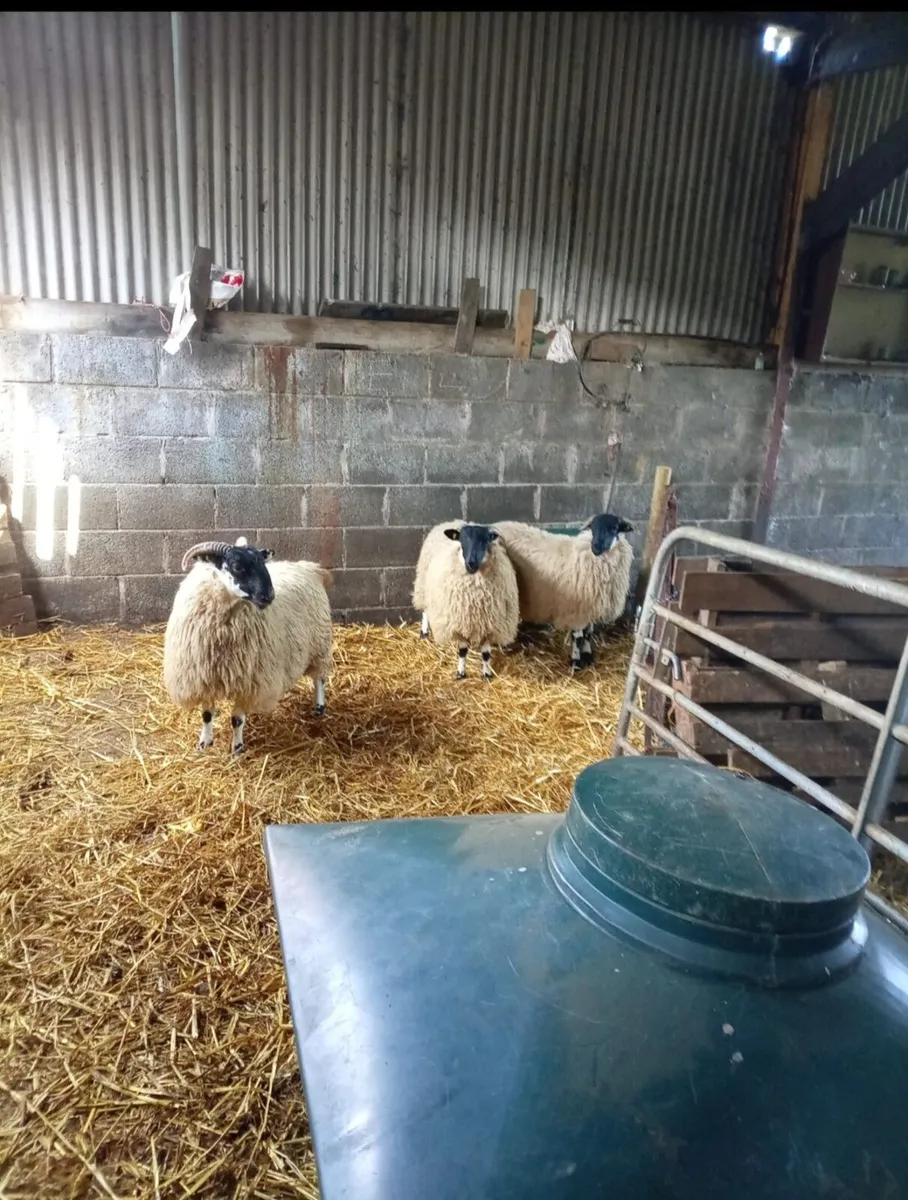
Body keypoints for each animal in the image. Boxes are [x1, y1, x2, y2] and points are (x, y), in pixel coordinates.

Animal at [163, 537, 333, 755]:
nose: (269, 596)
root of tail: (310, 567)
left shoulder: (249, 682)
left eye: (263, 563)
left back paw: (319, 708)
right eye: (237, 566)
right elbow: (207, 715)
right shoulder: (204, 677)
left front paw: (237, 749)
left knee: (320, 678)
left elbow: (237, 720)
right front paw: (204, 743)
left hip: (320, 644)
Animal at [412, 521, 519, 680]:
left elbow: (486, 654)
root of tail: (452, 522)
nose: (471, 563)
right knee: (425, 609)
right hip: (423, 584)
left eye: (484, 540)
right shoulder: (460, 623)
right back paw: (424, 632)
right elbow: (462, 651)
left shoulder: (490, 625)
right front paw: (461, 673)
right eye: (462, 540)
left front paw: (487, 674)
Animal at [495, 513, 634, 672]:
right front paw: (576, 662)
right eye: (592, 528)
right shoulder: (576, 609)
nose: (596, 548)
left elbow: (588, 633)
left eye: (614, 529)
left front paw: (588, 656)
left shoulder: (591, 608)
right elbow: (578, 637)